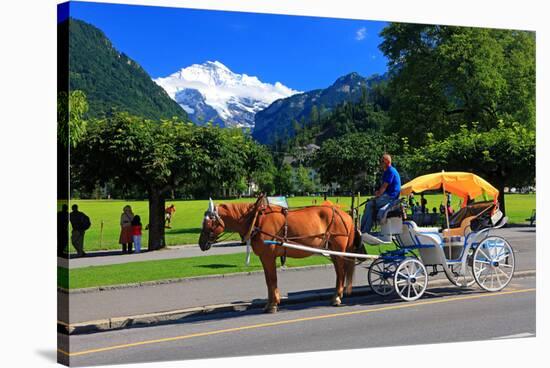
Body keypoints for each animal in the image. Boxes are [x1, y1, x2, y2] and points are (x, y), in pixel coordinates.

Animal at [201, 198, 360, 314]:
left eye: (209, 222)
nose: (201, 243)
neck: (257, 220)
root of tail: (344, 214)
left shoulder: (268, 256)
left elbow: (272, 280)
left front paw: (273, 305)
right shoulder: (264, 257)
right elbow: (268, 280)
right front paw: (269, 304)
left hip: (339, 250)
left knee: (341, 272)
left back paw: (337, 297)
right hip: (333, 251)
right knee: (339, 272)